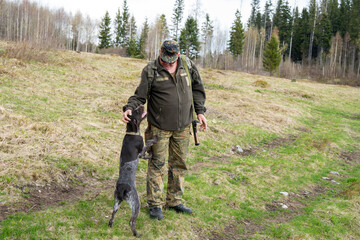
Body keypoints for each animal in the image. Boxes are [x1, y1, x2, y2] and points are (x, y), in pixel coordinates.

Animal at [107, 105, 157, 238]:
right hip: (135, 203)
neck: (131, 132)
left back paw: (110, 225)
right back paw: (137, 234)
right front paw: (154, 141)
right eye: (138, 111)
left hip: (117, 201)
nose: (142, 105)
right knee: (131, 221)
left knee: (112, 215)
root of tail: (122, 188)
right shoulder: (141, 152)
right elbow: (148, 144)